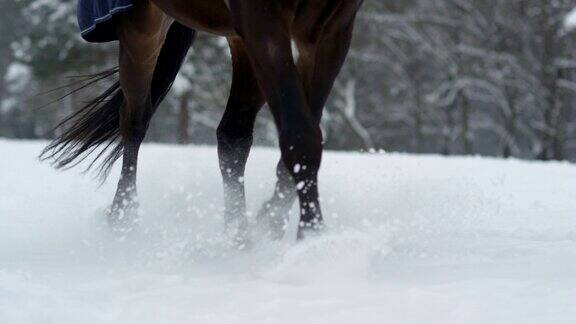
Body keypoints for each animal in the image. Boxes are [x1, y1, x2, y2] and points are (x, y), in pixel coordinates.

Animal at [41, 0, 364, 240]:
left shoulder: (332, 31)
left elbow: (306, 133)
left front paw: (272, 222)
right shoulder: (264, 25)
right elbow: (299, 135)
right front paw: (311, 236)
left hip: (239, 40)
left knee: (232, 135)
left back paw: (238, 235)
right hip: (141, 27)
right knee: (135, 122)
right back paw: (123, 218)